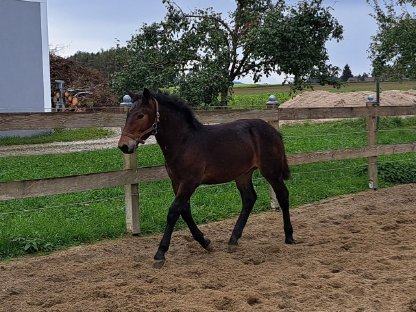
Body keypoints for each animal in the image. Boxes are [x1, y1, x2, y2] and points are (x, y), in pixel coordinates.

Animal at [118, 88, 296, 266]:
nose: (124, 146)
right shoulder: (176, 182)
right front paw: (206, 242)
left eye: (141, 115)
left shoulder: (190, 182)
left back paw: (289, 236)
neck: (184, 142)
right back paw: (233, 240)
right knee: (249, 199)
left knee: (283, 195)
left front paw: (160, 254)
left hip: (271, 171)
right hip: (243, 175)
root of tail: (274, 131)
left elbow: (174, 211)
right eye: (128, 114)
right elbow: (185, 211)